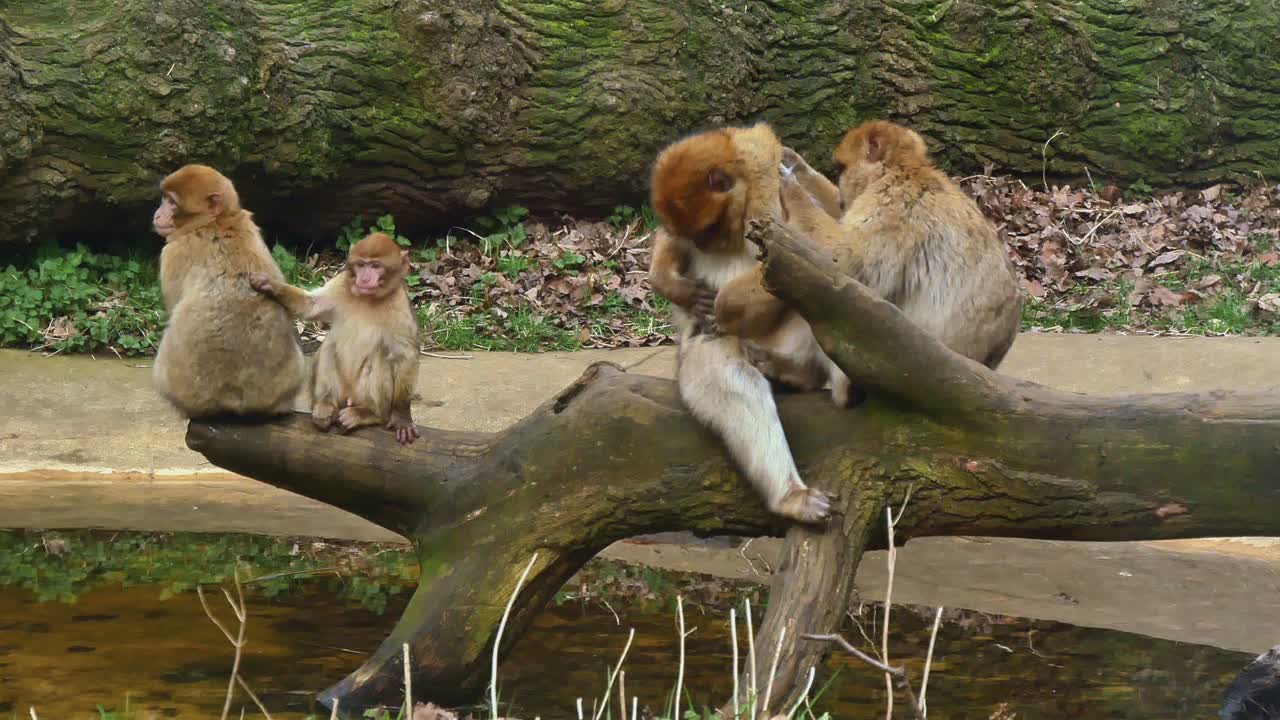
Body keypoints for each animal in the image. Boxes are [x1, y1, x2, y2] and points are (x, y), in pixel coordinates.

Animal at [150, 164, 305, 418]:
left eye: (171, 202)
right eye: (164, 198)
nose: (157, 213)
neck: (217, 221)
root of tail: (233, 398)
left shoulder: (175, 250)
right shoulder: (253, 230)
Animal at [249, 232, 421, 445]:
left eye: (376, 266)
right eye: (361, 264)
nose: (364, 278)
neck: (368, 298)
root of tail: (349, 397)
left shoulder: (399, 306)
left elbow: (406, 356)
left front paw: (402, 415)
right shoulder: (342, 282)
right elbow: (311, 305)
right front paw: (271, 285)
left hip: (361, 395)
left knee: (379, 357)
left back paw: (369, 413)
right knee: (329, 346)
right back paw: (325, 405)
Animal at [648, 122, 844, 524]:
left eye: (708, 229)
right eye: (696, 234)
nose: (702, 245)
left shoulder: (769, 195)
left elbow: (824, 255)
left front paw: (719, 304)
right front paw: (678, 289)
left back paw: (799, 373)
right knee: (735, 382)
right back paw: (790, 496)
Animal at [776, 120, 1021, 370]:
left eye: (840, 168)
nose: (842, 198)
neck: (900, 169)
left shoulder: (892, 208)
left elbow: (848, 267)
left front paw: (790, 185)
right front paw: (795, 163)